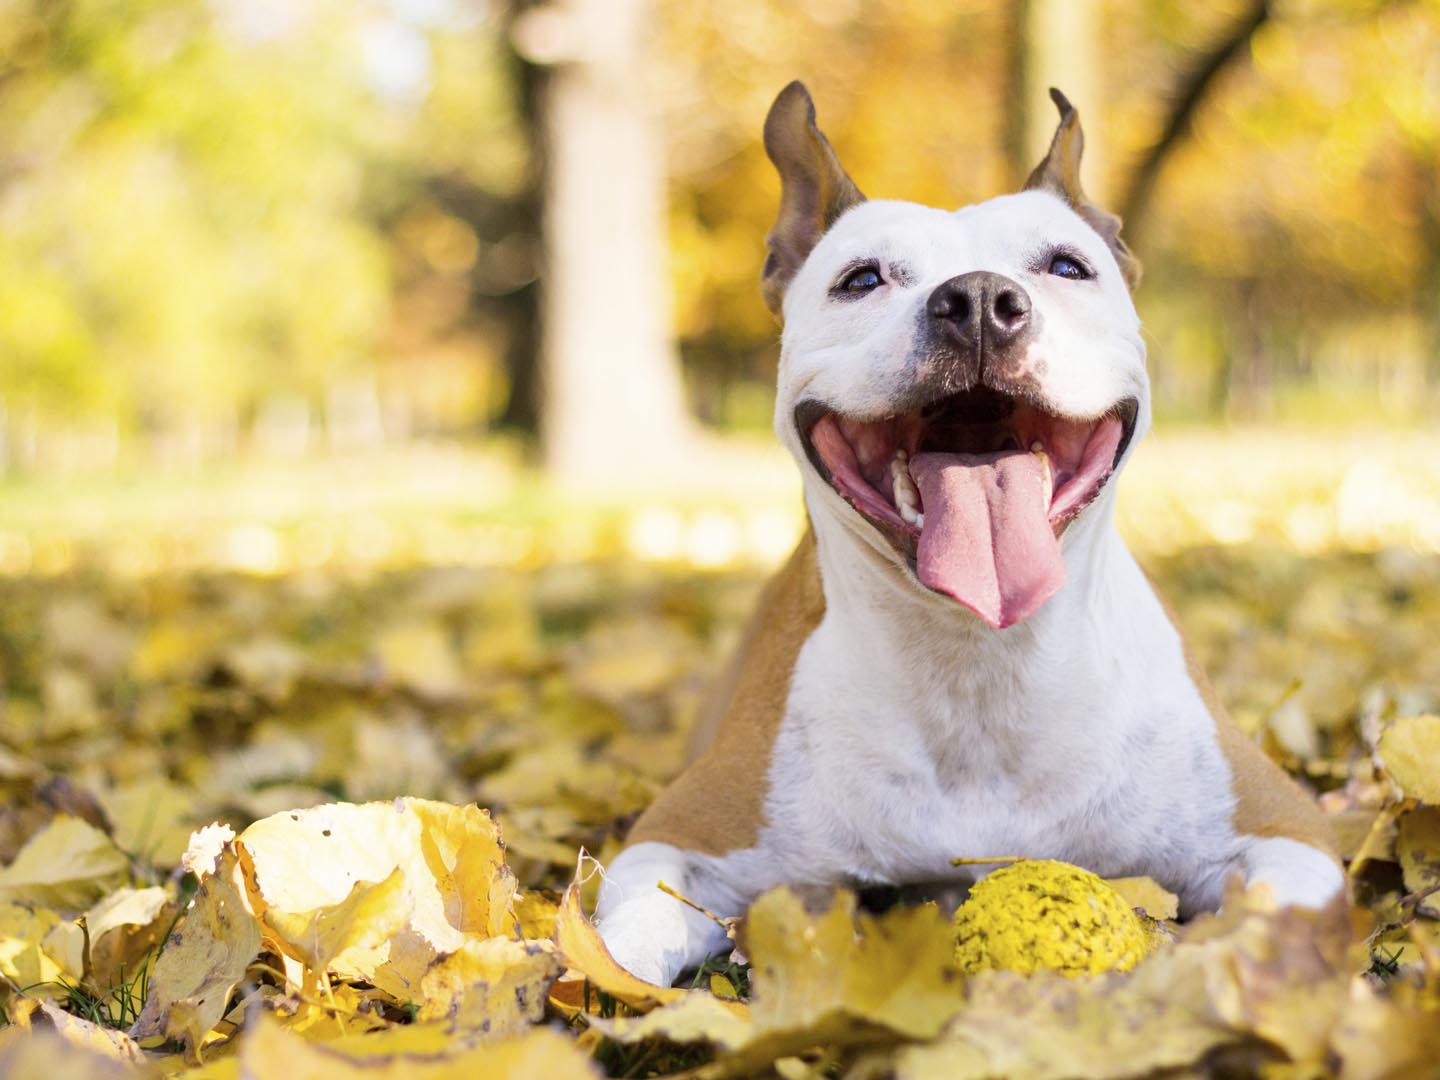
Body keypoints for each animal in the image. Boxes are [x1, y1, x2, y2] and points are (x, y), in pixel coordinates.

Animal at [590, 80, 1342, 984]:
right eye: (861, 279)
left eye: (1066, 266)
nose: (979, 299)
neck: (978, 661)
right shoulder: (676, 840)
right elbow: (614, 950)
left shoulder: (1288, 833)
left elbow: (1263, 927)